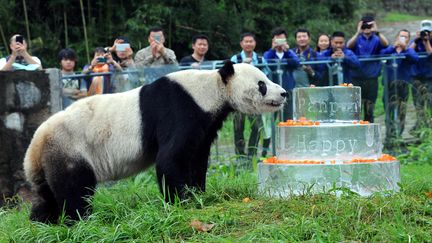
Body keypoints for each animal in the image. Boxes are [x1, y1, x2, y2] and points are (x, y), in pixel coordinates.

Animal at [23, 60, 286, 222]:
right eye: (262, 84)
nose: (283, 93)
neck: (211, 89)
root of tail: (34, 146)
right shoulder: (179, 108)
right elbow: (170, 158)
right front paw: (181, 201)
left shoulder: (204, 122)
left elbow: (197, 157)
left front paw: (198, 193)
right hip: (70, 148)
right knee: (75, 189)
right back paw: (81, 220)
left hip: (50, 159)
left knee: (46, 196)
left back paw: (42, 223)